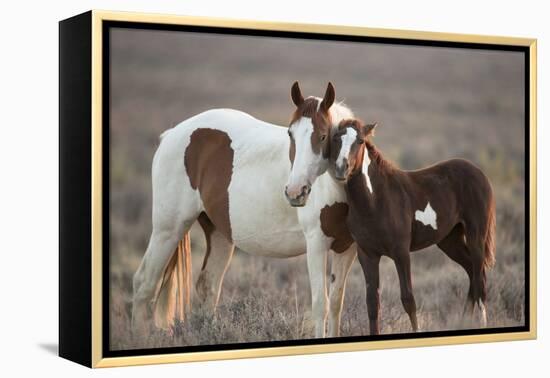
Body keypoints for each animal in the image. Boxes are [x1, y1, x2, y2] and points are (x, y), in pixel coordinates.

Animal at [134, 82, 358, 336]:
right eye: (290, 134)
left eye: (323, 136)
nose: (295, 192)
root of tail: (171, 135)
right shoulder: (316, 244)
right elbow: (321, 304)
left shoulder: (346, 248)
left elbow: (336, 304)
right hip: (168, 230)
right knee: (144, 284)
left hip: (219, 234)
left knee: (208, 287)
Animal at [332, 120, 500, 334]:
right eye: (336, 138)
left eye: (360, 140)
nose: (341, 169)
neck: (376, 200)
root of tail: (479, 172)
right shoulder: (367, 255)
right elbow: (372, 303)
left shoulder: (401, 252)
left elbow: (408, 299)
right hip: (450, 241)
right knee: (471, 272)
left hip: (476, 236)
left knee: (480, 282)